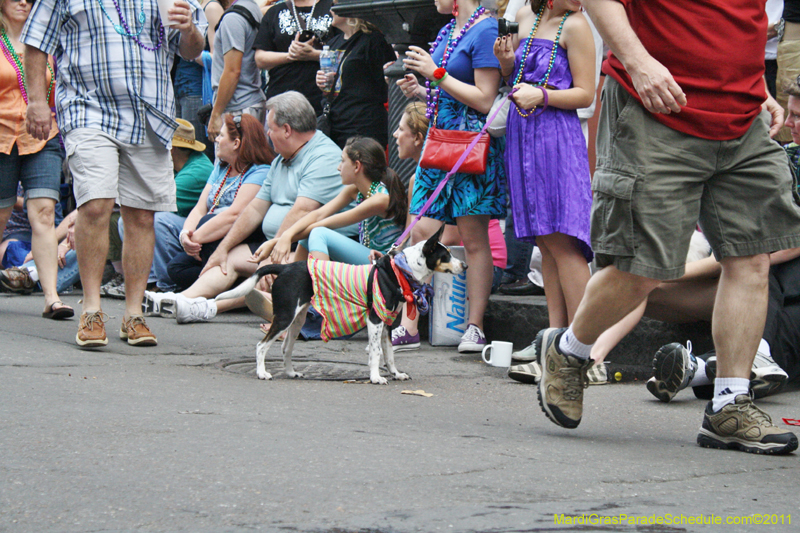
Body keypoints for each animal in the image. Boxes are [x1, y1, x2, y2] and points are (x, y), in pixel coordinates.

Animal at [216, 227, 466, 384]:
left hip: (297, 319)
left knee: (285, 348)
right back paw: (262, 373)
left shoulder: (387, 325)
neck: (398, 271)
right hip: (285, 316)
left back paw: (291, 373)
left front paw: (396, 374)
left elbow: (389, 355)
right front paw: (376, 377)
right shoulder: (375, 321)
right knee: (261, 346)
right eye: (446, 255)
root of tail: (284, 267)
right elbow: (376, 352)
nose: (465, 265)